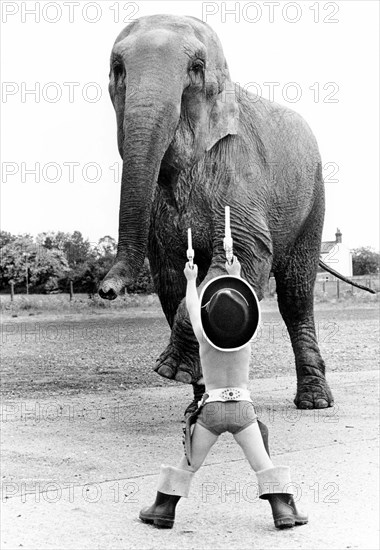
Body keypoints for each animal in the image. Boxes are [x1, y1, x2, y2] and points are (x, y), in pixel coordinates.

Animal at [98, 12, 336, 410]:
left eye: (196, 68)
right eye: (118, 69)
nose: (106, 291)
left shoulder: (240, 175)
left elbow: (243, 256)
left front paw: (168, 371)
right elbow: (172, 278)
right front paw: (194, 398)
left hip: (314, 200)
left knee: (296, 297)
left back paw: (314, 402)